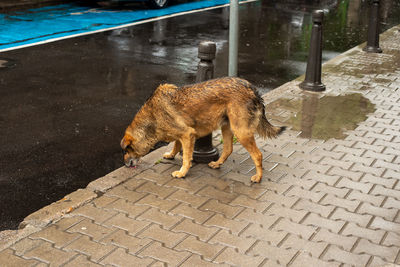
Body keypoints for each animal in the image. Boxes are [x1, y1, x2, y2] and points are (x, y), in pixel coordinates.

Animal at [121, 76, 284, 183]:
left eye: (126, 150)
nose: (125, 164)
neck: (151, 116)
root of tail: (252, 89)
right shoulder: (181, 134)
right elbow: (176, 145)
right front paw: (171, 155)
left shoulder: (187, 134)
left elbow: (186, 157)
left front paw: (182, 172)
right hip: (227, 127)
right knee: (228, 149)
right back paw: (217, 164)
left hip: (241, 132)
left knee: (258, 155)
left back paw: (258, 177)